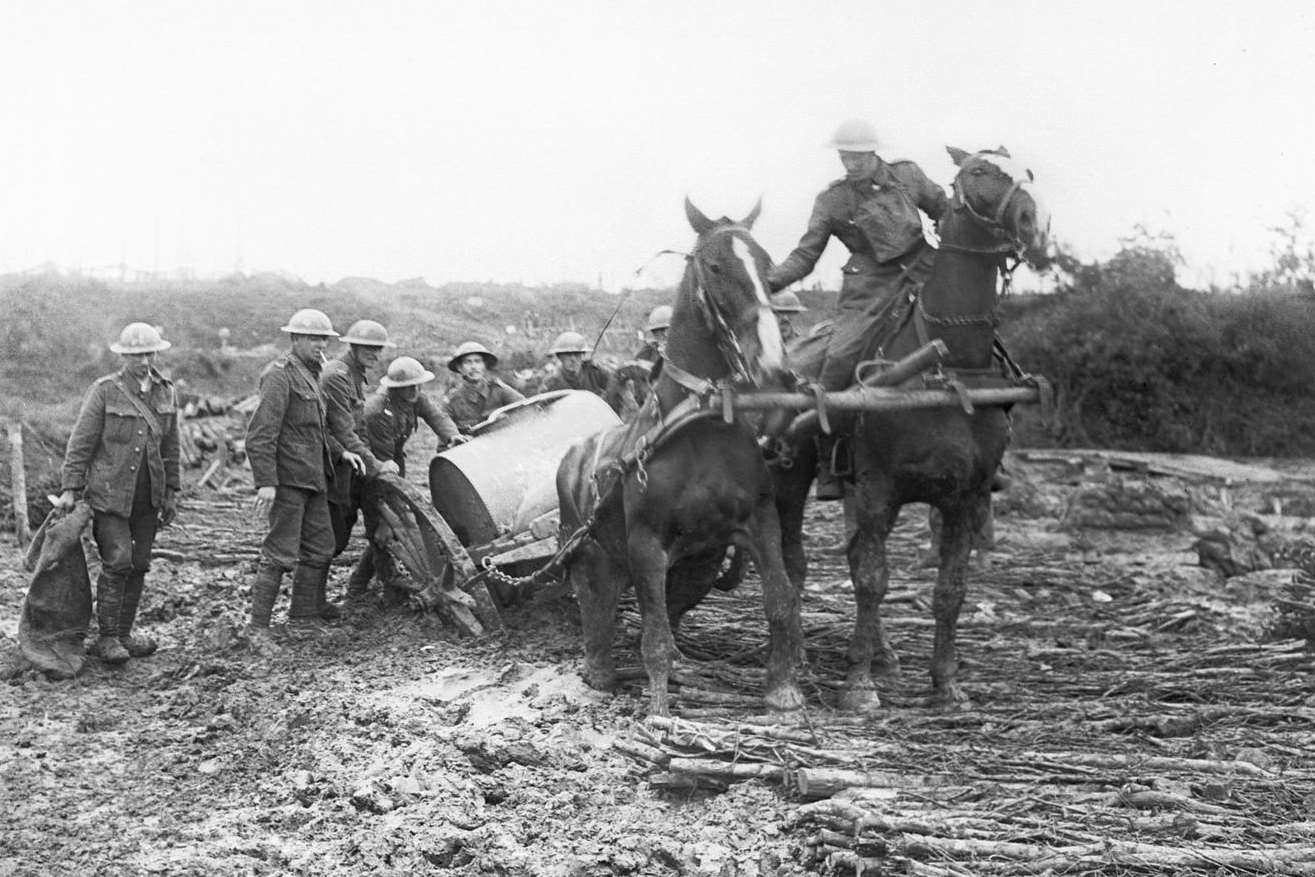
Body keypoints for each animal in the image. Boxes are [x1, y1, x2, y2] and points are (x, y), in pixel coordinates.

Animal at [552, 201, 799, 720]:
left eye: (769, 267)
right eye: (715, 266)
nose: (772, 367)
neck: (700, 423)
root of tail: (572, 455)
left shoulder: (760, 522)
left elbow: (782, 600)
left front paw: (782, 690)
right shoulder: (646, 544)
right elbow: (655, 637)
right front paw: (659, 711)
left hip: (695, 563)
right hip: (589, 553)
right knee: (595, 606)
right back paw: (599, 672)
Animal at [773, 147, 1052, 715]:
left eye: (1027, 172)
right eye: (978, 172)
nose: (1032, 224)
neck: (945, 365)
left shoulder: (967, 499)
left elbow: (951, 591)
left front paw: (945, 683)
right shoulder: (879, 490)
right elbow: (871, 582)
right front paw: (858, 686)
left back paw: (883, 656)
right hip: (796, 483)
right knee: (799, 562)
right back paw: (808, 656)